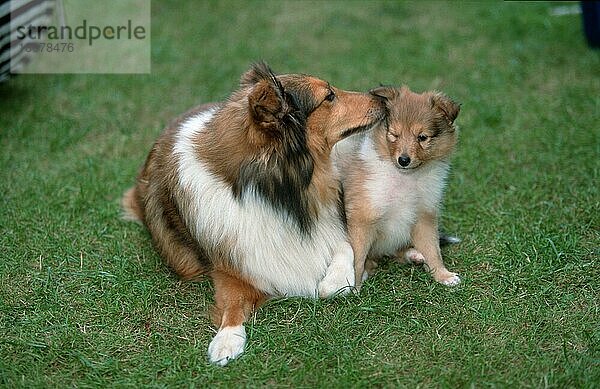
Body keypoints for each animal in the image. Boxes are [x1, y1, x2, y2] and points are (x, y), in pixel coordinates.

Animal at [122, 63, 386, 364]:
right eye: (329, 96)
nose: (382, 97)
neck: (275, 191)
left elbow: (345, 246)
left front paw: (337, 279)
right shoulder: (228, 269)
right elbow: (233, 305)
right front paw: (226, 340)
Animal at [336, 86, 462, 290]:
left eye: (422, 137)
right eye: (394, 134)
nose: (403, 160)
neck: (406, 178)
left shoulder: (424, 215)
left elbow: (433, 249)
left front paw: (443, 275)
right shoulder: (362, 218)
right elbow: (357, 257)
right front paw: (353, 286)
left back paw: (415, 254)